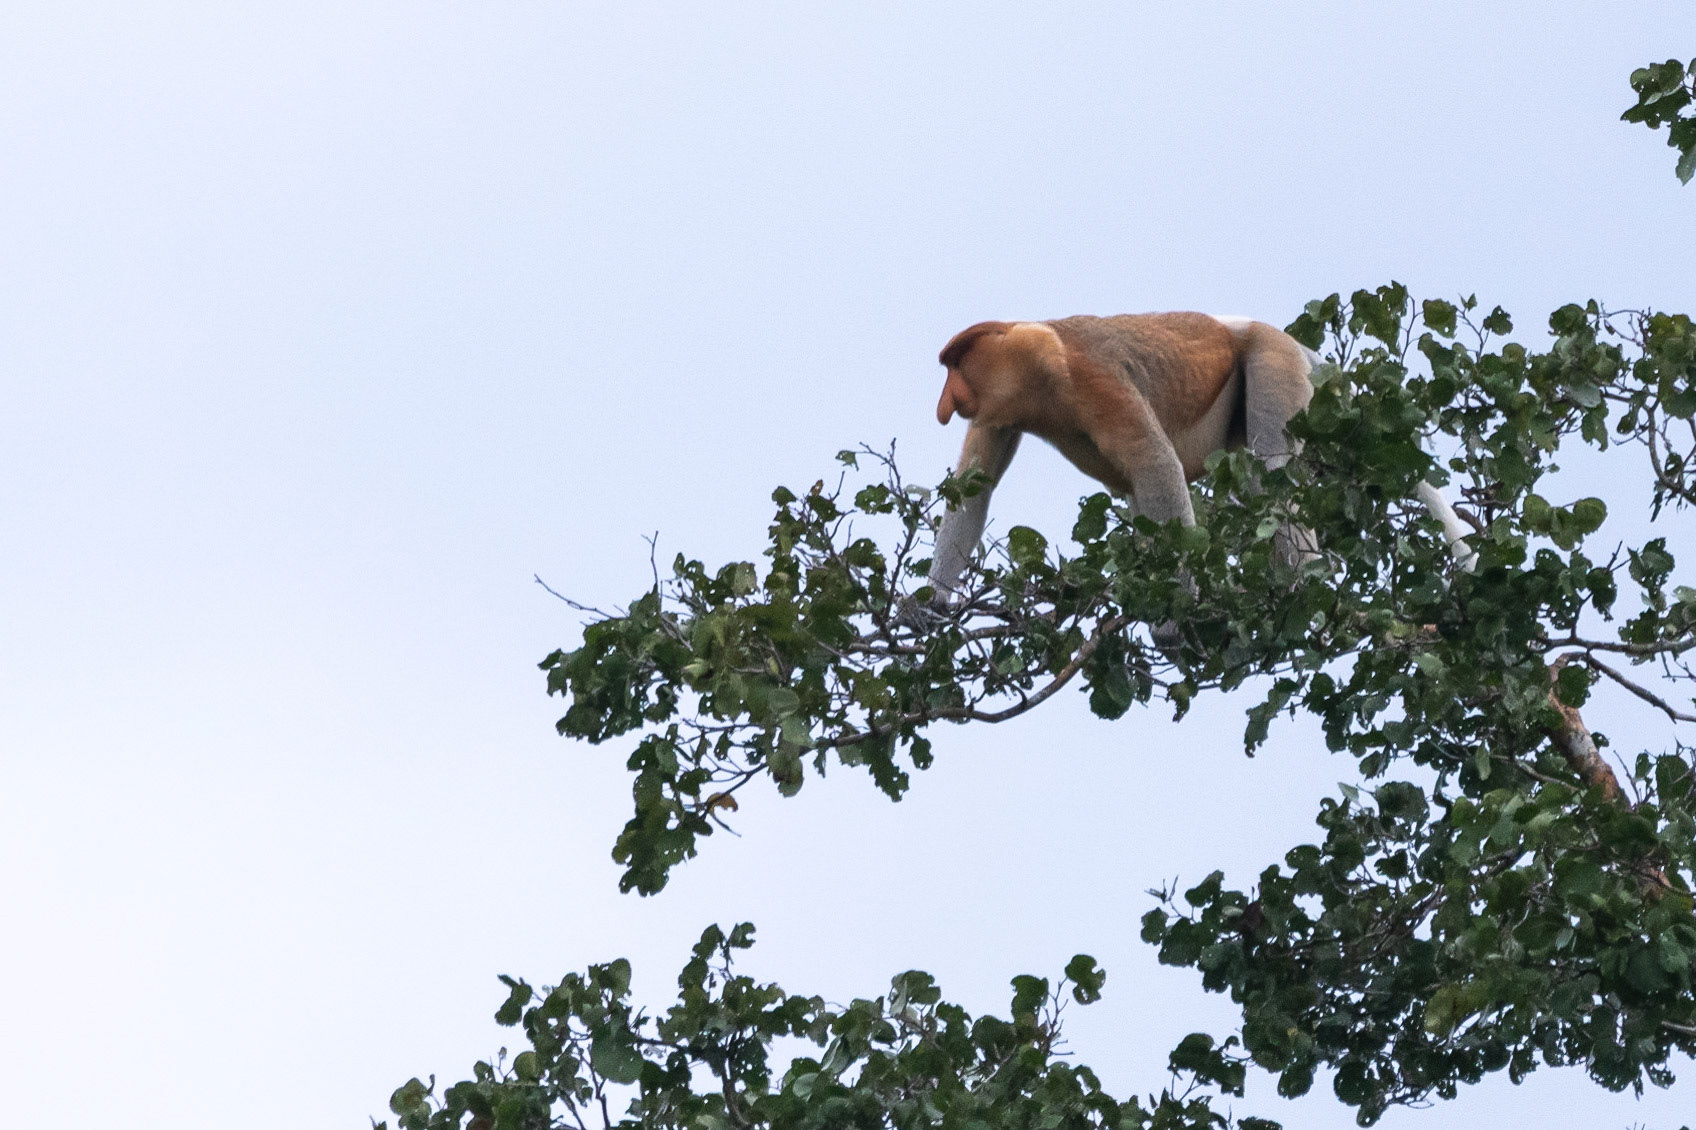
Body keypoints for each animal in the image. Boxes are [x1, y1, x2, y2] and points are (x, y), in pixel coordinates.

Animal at [925, 312, 1476, 605]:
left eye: (956, 366)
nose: (943, 406)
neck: (1038, 360)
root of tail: (1285, 339)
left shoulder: (1090, 377)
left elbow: (1156, 464)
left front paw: (1175, 614)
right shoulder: (1000, 413)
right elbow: (974, 487)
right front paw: (927, 606)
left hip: (1271, 362)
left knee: (1272, 469)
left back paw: (1303, 589)